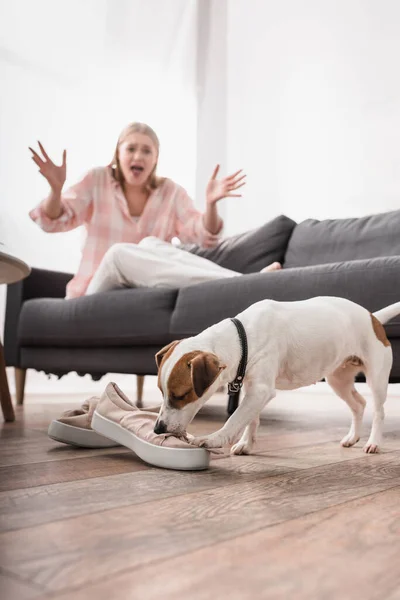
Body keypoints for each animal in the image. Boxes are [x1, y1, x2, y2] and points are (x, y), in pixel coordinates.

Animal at [153, 296, 400, 454]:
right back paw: (352, 437)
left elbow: (235, 419)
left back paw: (374, 442)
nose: (158, 429)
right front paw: (247, 444)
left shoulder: (261, 390)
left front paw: (214, 439)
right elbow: (250, 419)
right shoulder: (251, 389)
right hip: (338, 379)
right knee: (358, 404)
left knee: (378, 411)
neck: (243, 337)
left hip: (377, 377)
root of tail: (373, 317)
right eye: (161, 392)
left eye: (181, 395)